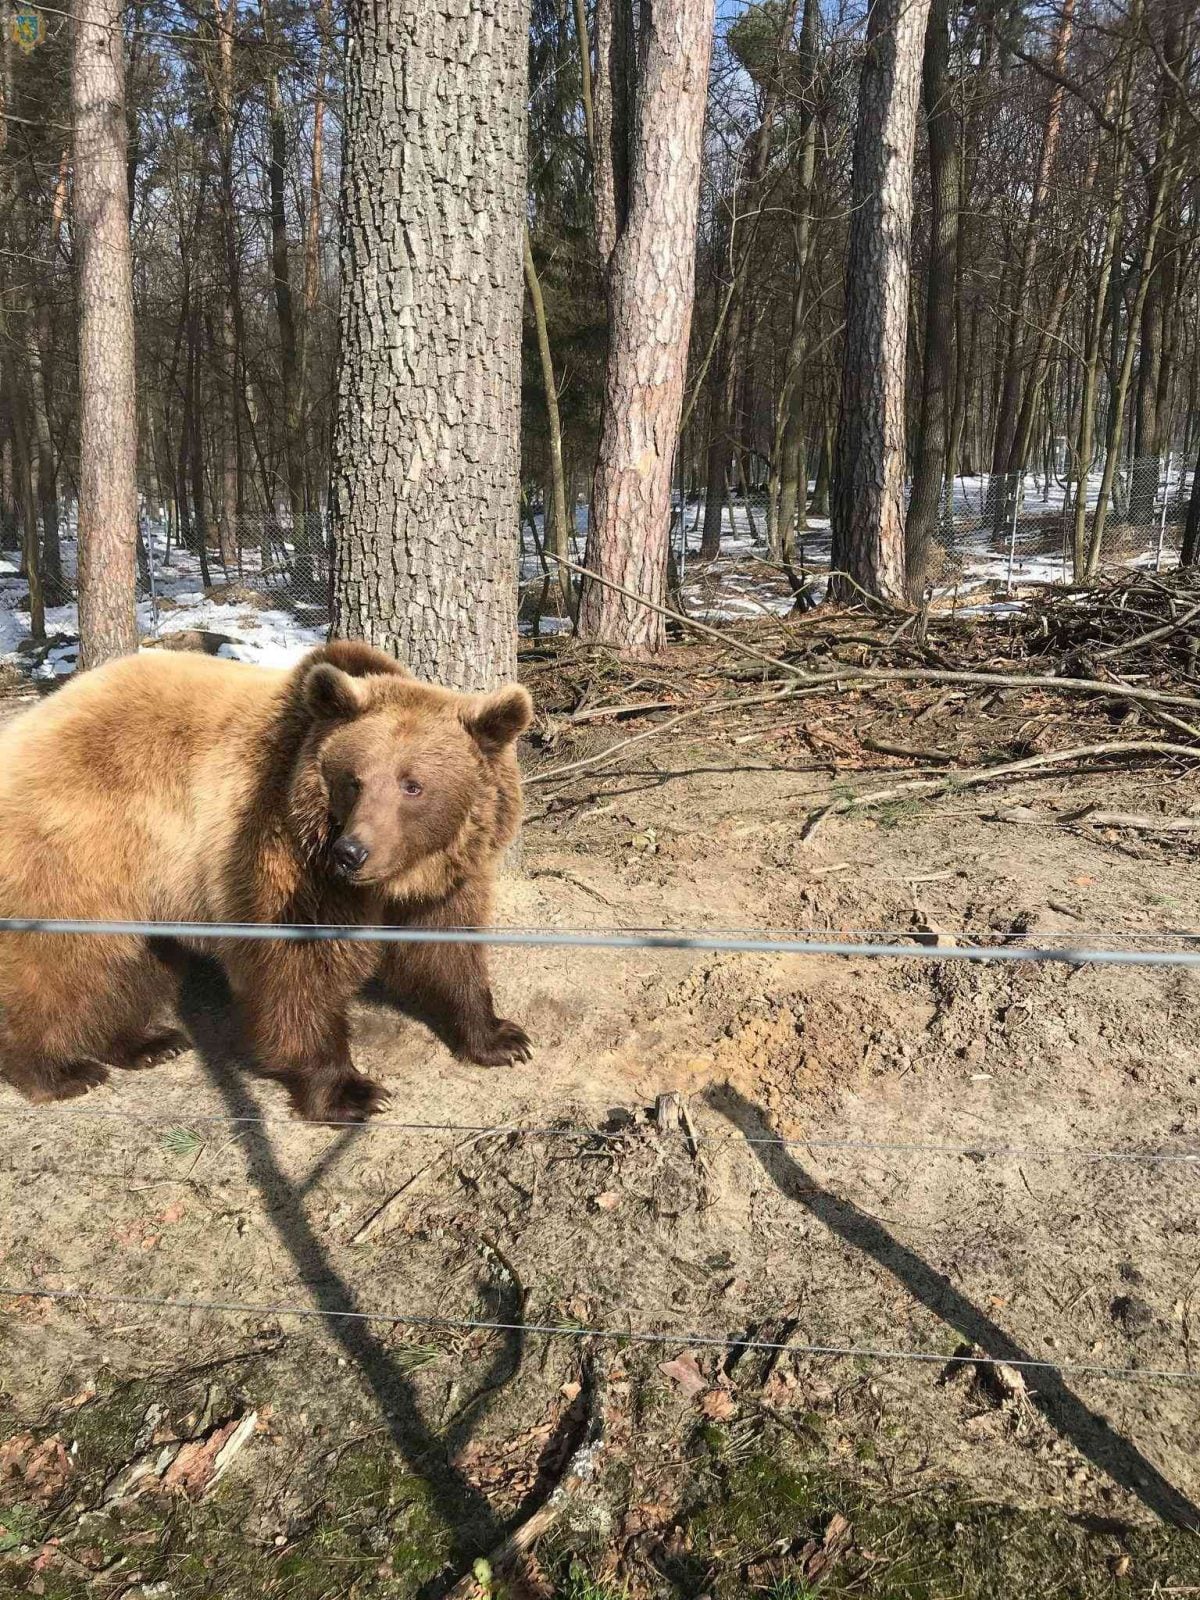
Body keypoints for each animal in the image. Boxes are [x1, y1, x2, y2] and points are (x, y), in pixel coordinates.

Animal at [0, 639, 533, 1121]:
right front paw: (350, 1091)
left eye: (412, 784)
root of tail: (35, 719)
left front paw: (502, 1037)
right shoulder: (286, 854)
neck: (398, 878)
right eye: (353, 779)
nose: (351, 853)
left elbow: (448, 952)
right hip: (81, 847)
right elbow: (297, 971)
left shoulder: (441, 885)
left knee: (132, 962)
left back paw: (147, 1042)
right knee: (62, 961)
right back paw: (59, 1071)